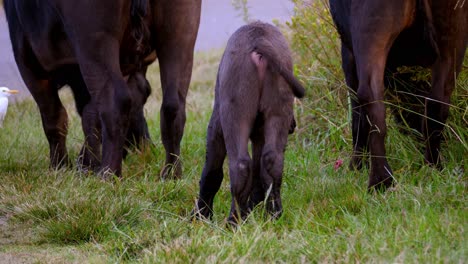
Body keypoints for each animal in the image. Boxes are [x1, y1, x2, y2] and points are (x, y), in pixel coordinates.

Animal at [4, 0, 201, 177]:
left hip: (94, 41)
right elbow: (93, 113)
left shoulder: (29, 64)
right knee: (172, 105)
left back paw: (108, 174)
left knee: (117, 101)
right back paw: (171, 173)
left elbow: (54, 117)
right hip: (179, 34)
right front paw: (85, 164)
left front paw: (61, 166)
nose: (143, 146)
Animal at [193, 21, 306, 224]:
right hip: (278, 108)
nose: (293, 126)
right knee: (272, 160)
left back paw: (234, 220)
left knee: (240, 164)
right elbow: (258, 173)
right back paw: (274, 213)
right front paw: (253, 205)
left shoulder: (216, 129)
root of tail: (258, 40)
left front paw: (201, 214)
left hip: (235, 113)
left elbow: (211, 172)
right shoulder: (260, 136)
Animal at [330, 0, 466, 190]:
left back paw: (380, 180)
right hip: (452, 38)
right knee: (436, 103)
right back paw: (432, 166)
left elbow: (357, 119)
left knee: (370, 101)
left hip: (367, 31)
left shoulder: (348, 52)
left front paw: (356, 166)